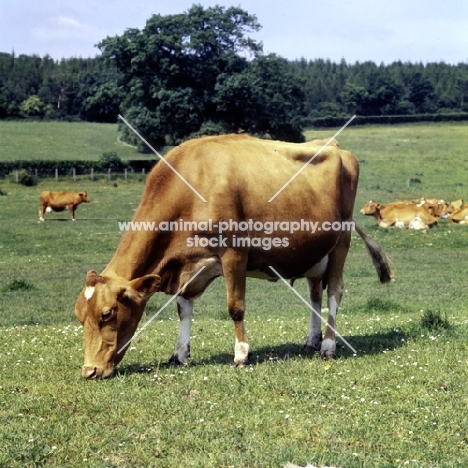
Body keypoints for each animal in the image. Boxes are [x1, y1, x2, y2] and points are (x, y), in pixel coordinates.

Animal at [76, 133, 392, 378]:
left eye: (107, 313)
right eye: (80, 316)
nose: (89, 371)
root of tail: (335, 145)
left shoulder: (234, 253)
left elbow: (235, 307)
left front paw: (241, 354)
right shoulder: (189, 265)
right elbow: (183, 308)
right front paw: (179, 354)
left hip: (341, 241)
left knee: (334, 292)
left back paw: (328, 346)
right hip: (314, 252)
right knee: (315, 293)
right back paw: (311, 340)